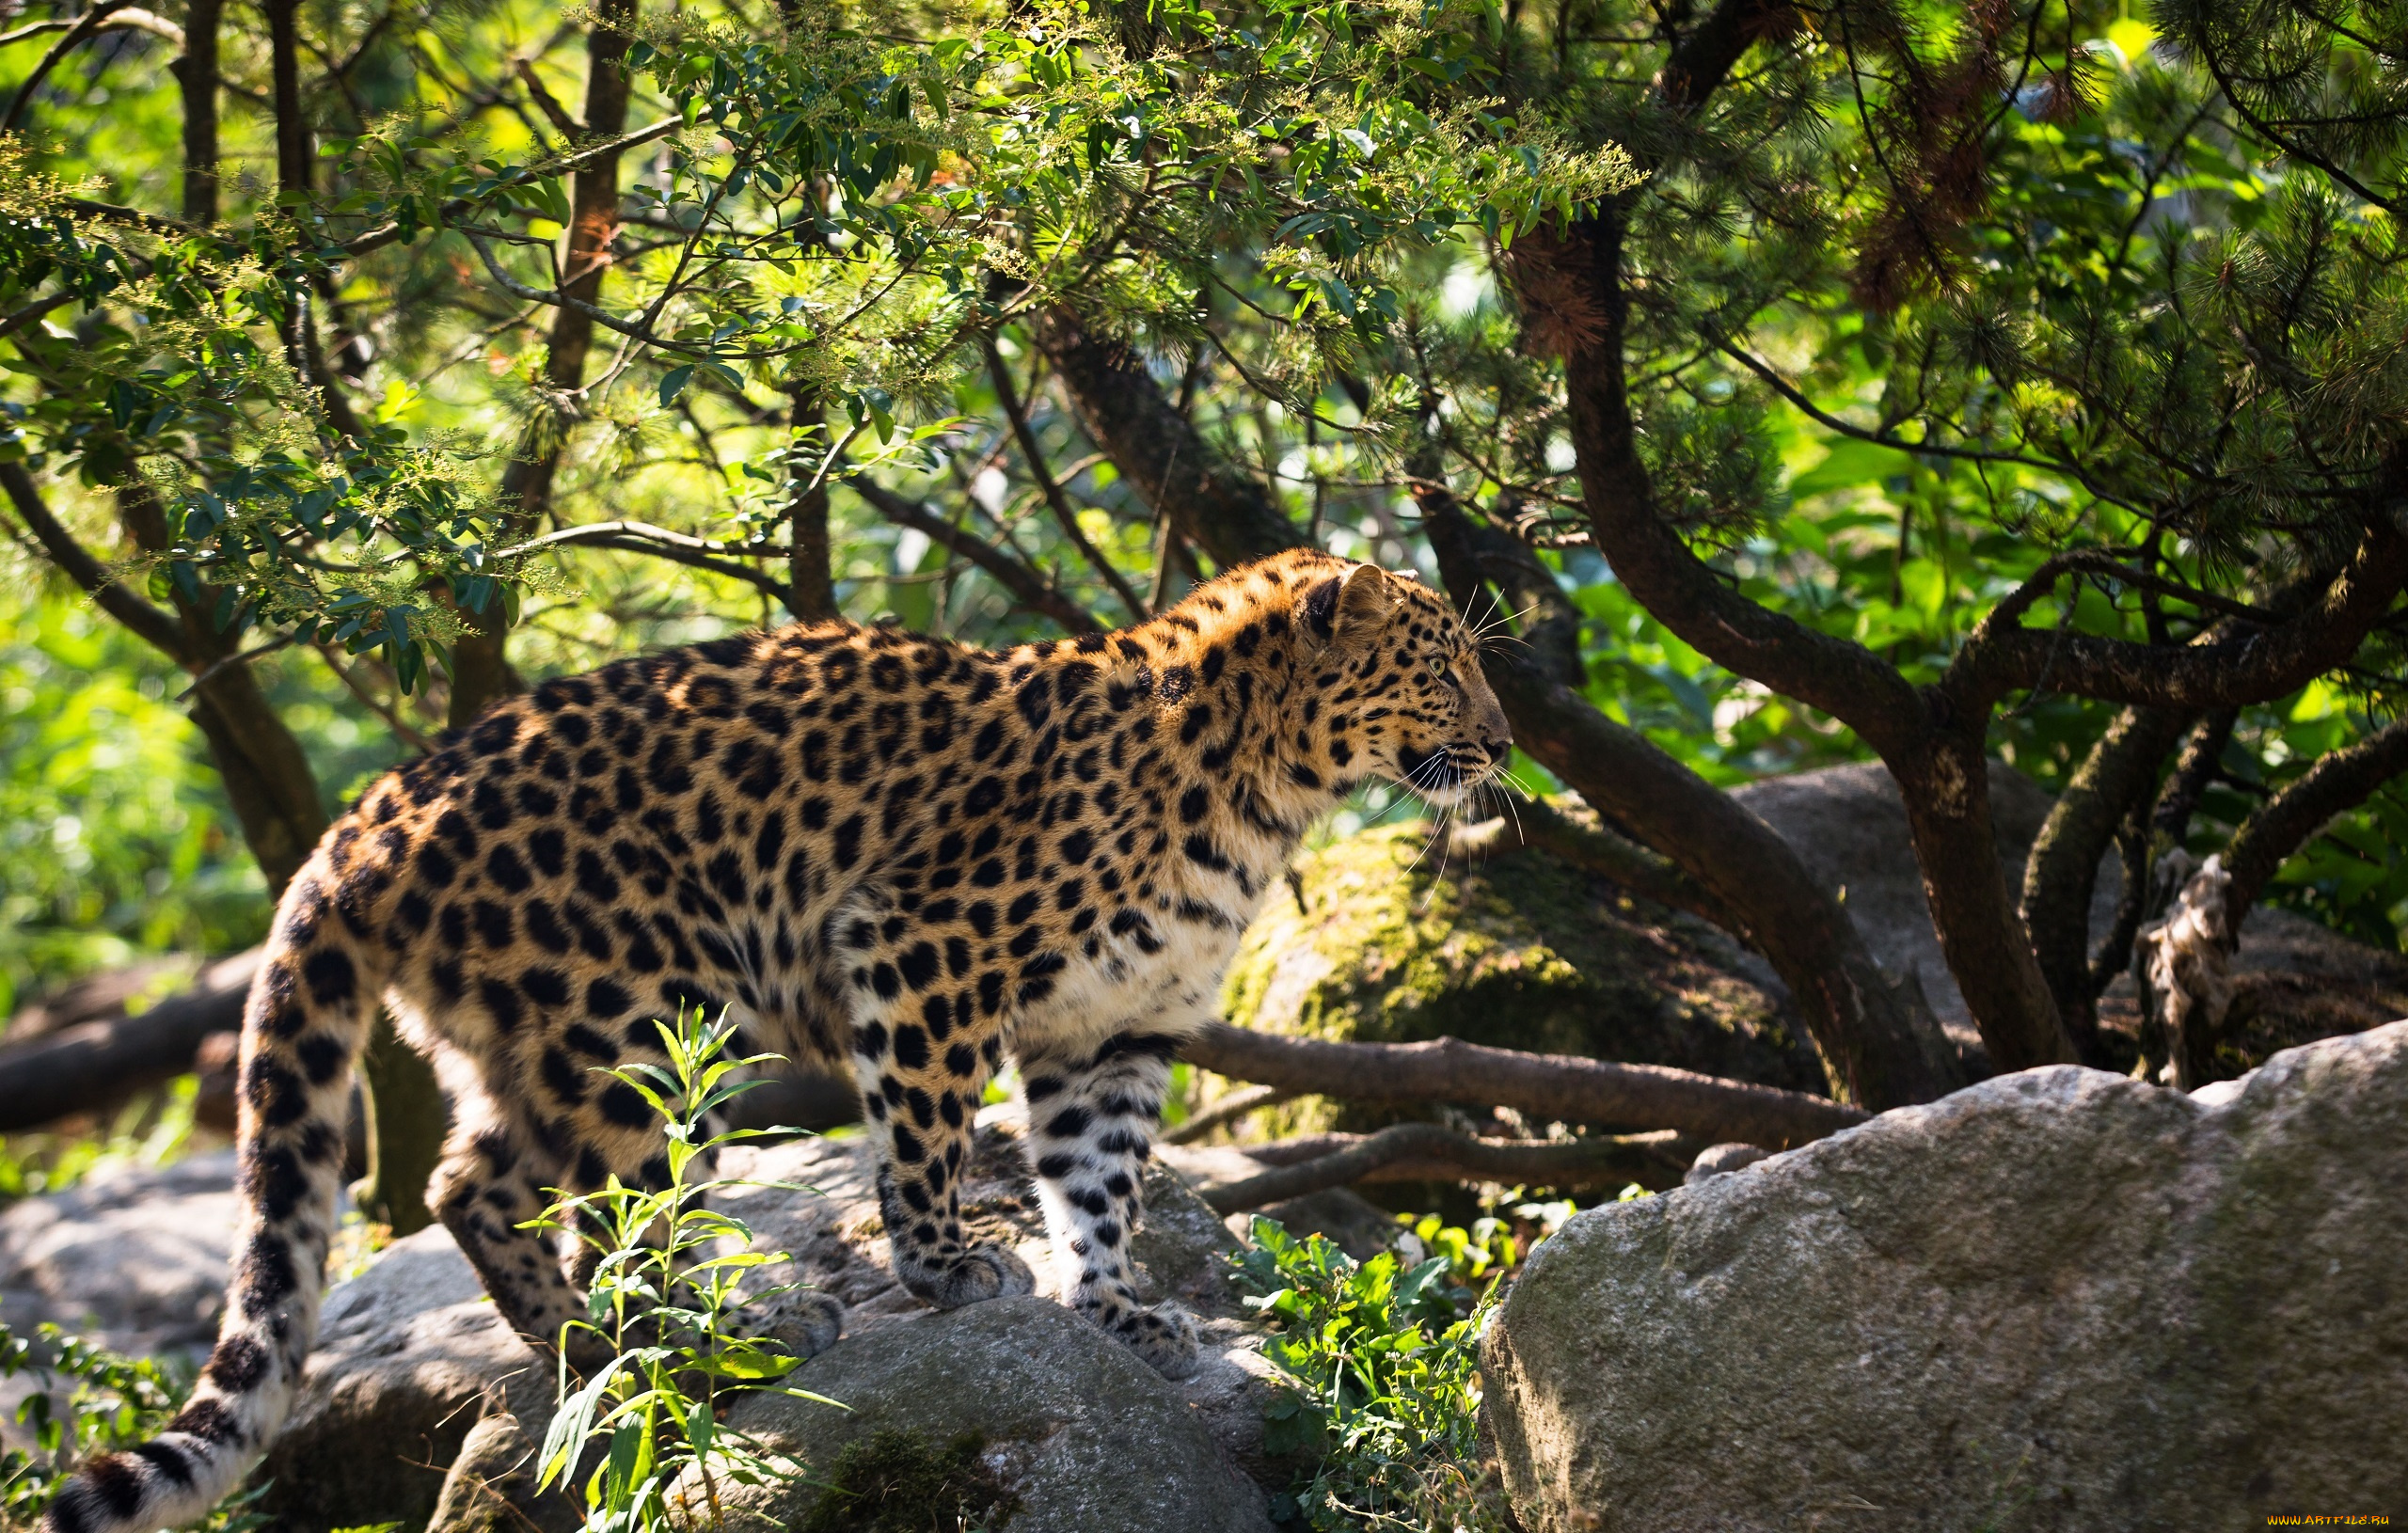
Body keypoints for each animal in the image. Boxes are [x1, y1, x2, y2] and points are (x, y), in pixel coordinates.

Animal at [46, 544, 1512, 1521]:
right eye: (1444, 664)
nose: (1504, 745)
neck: (1265, 790)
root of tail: (368, 811)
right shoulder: (924, 946)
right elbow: (925, 1130)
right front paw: (944, 1267)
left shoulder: (1115, 1030)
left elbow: (1100, 1182)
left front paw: (1113, 1307)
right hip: (641, 1021)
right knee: (622, 1210)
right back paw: (725, 1330)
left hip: (537, 1033)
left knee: (473, 1181)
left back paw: (578, 1344)